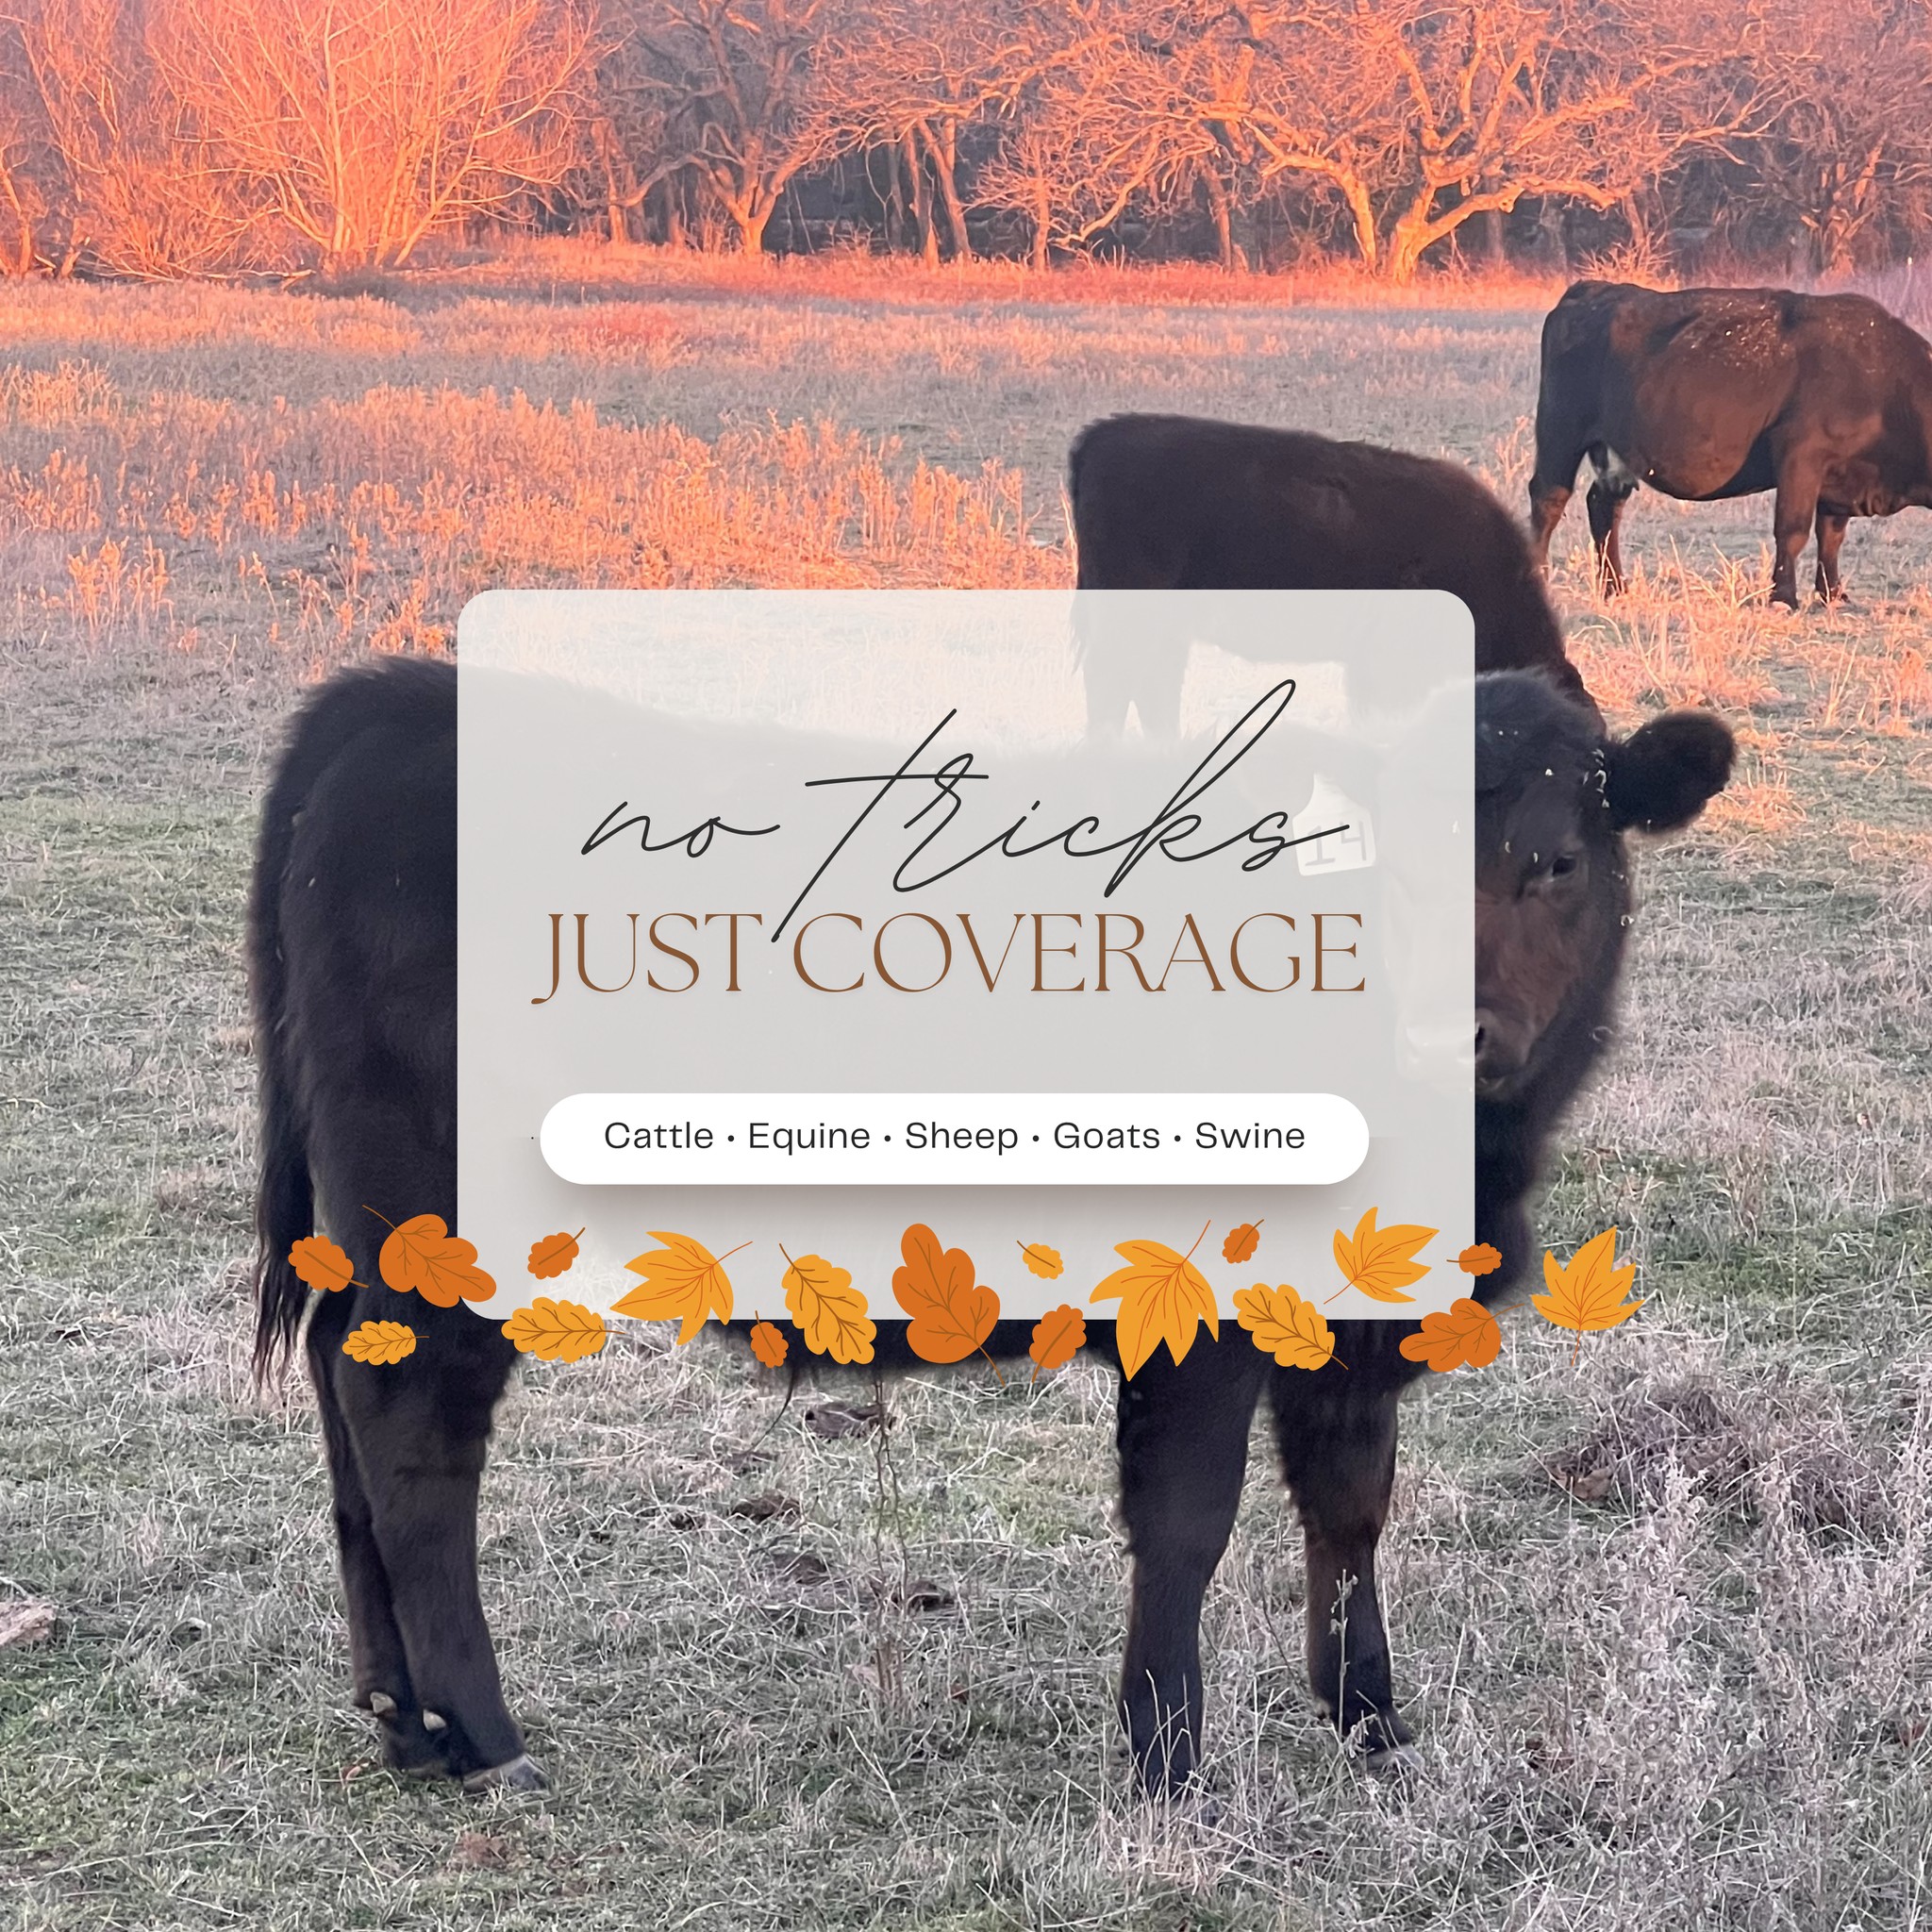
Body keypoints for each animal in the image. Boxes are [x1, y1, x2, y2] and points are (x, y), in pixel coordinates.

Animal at [248, 654, 1731, 1797]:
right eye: (1393, 877)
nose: (1448, 1031)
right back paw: (483, 1733)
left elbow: (1351, 1505)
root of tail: (394, 698)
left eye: (1554, 860)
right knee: (414, 1428)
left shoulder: (1351, 1331)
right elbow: (1188, 1519)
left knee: (339, 1374)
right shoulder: (1197, 1313)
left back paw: (402, 1721)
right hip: (439, 1222)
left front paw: (1369, 1721)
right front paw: (1167, 1760)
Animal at [1528, 280, 1932, 609]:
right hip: (1559, 434)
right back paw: (1539, 576)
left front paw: (1833, 594)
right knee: (1548, 500)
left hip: (1616, 454)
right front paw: (1784, 598)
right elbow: (1793, 529)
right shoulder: (1800, 457)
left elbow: (1831, 537)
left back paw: (1615, 587)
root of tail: (1594, 288)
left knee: (1603, 507)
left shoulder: (1840, 477)